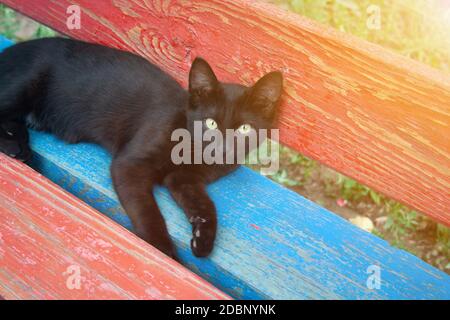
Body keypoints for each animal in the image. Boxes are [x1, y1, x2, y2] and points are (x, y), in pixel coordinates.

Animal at [0, 37, 282, 260]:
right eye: (210, 123)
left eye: (244, 129)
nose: (222, 149)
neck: (192, 150)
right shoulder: (130, 165)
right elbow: (147, 211)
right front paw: (163, 251)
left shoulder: (185, 179)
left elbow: (205, 205)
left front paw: (203, 238)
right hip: (25, 82)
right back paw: (13, 147)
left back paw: (20, 145)